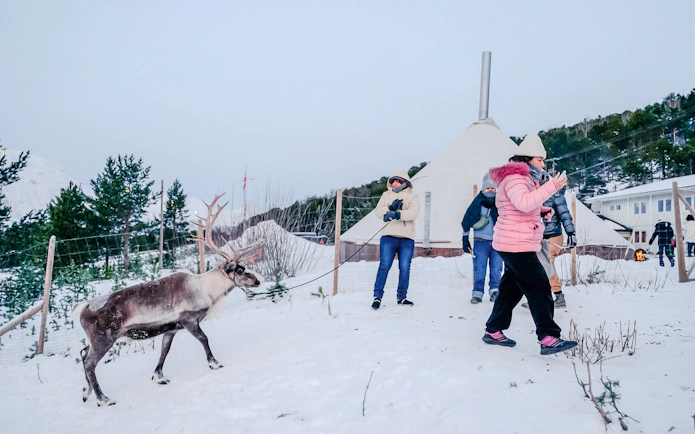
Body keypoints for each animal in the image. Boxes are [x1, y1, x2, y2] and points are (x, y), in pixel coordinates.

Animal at [72, 194, 264, 407]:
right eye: (240, 269)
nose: (258, 280)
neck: (207, 290)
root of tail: (82, 308)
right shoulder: (189, 321)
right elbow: (204, 339)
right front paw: (214, 363)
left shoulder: (171, 328)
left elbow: (164, 350)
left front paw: (159, 377)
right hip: (103, 338)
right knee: (89, 362)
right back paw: (103, 399)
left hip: (95, 340)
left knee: (82, 353)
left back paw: (85, 391)